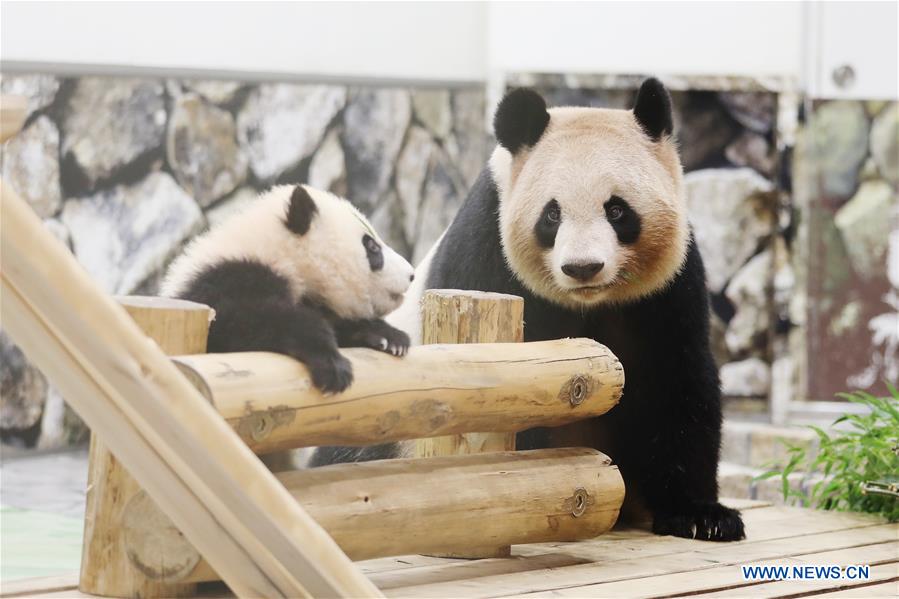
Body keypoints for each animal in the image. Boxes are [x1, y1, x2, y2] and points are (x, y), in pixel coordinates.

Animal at [161, 184, 415, 394]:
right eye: (372, 247)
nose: (411, 274)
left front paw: (390, 338)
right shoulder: (222, 281)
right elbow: (243, 324)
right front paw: (332, 364)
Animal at [315, 78, 745, 542]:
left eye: (617, 210)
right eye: (551, 214)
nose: (582, 267)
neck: (587, 303)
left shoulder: (666, 287)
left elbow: (676, 380)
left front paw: (703, 517)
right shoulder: (487, 248)